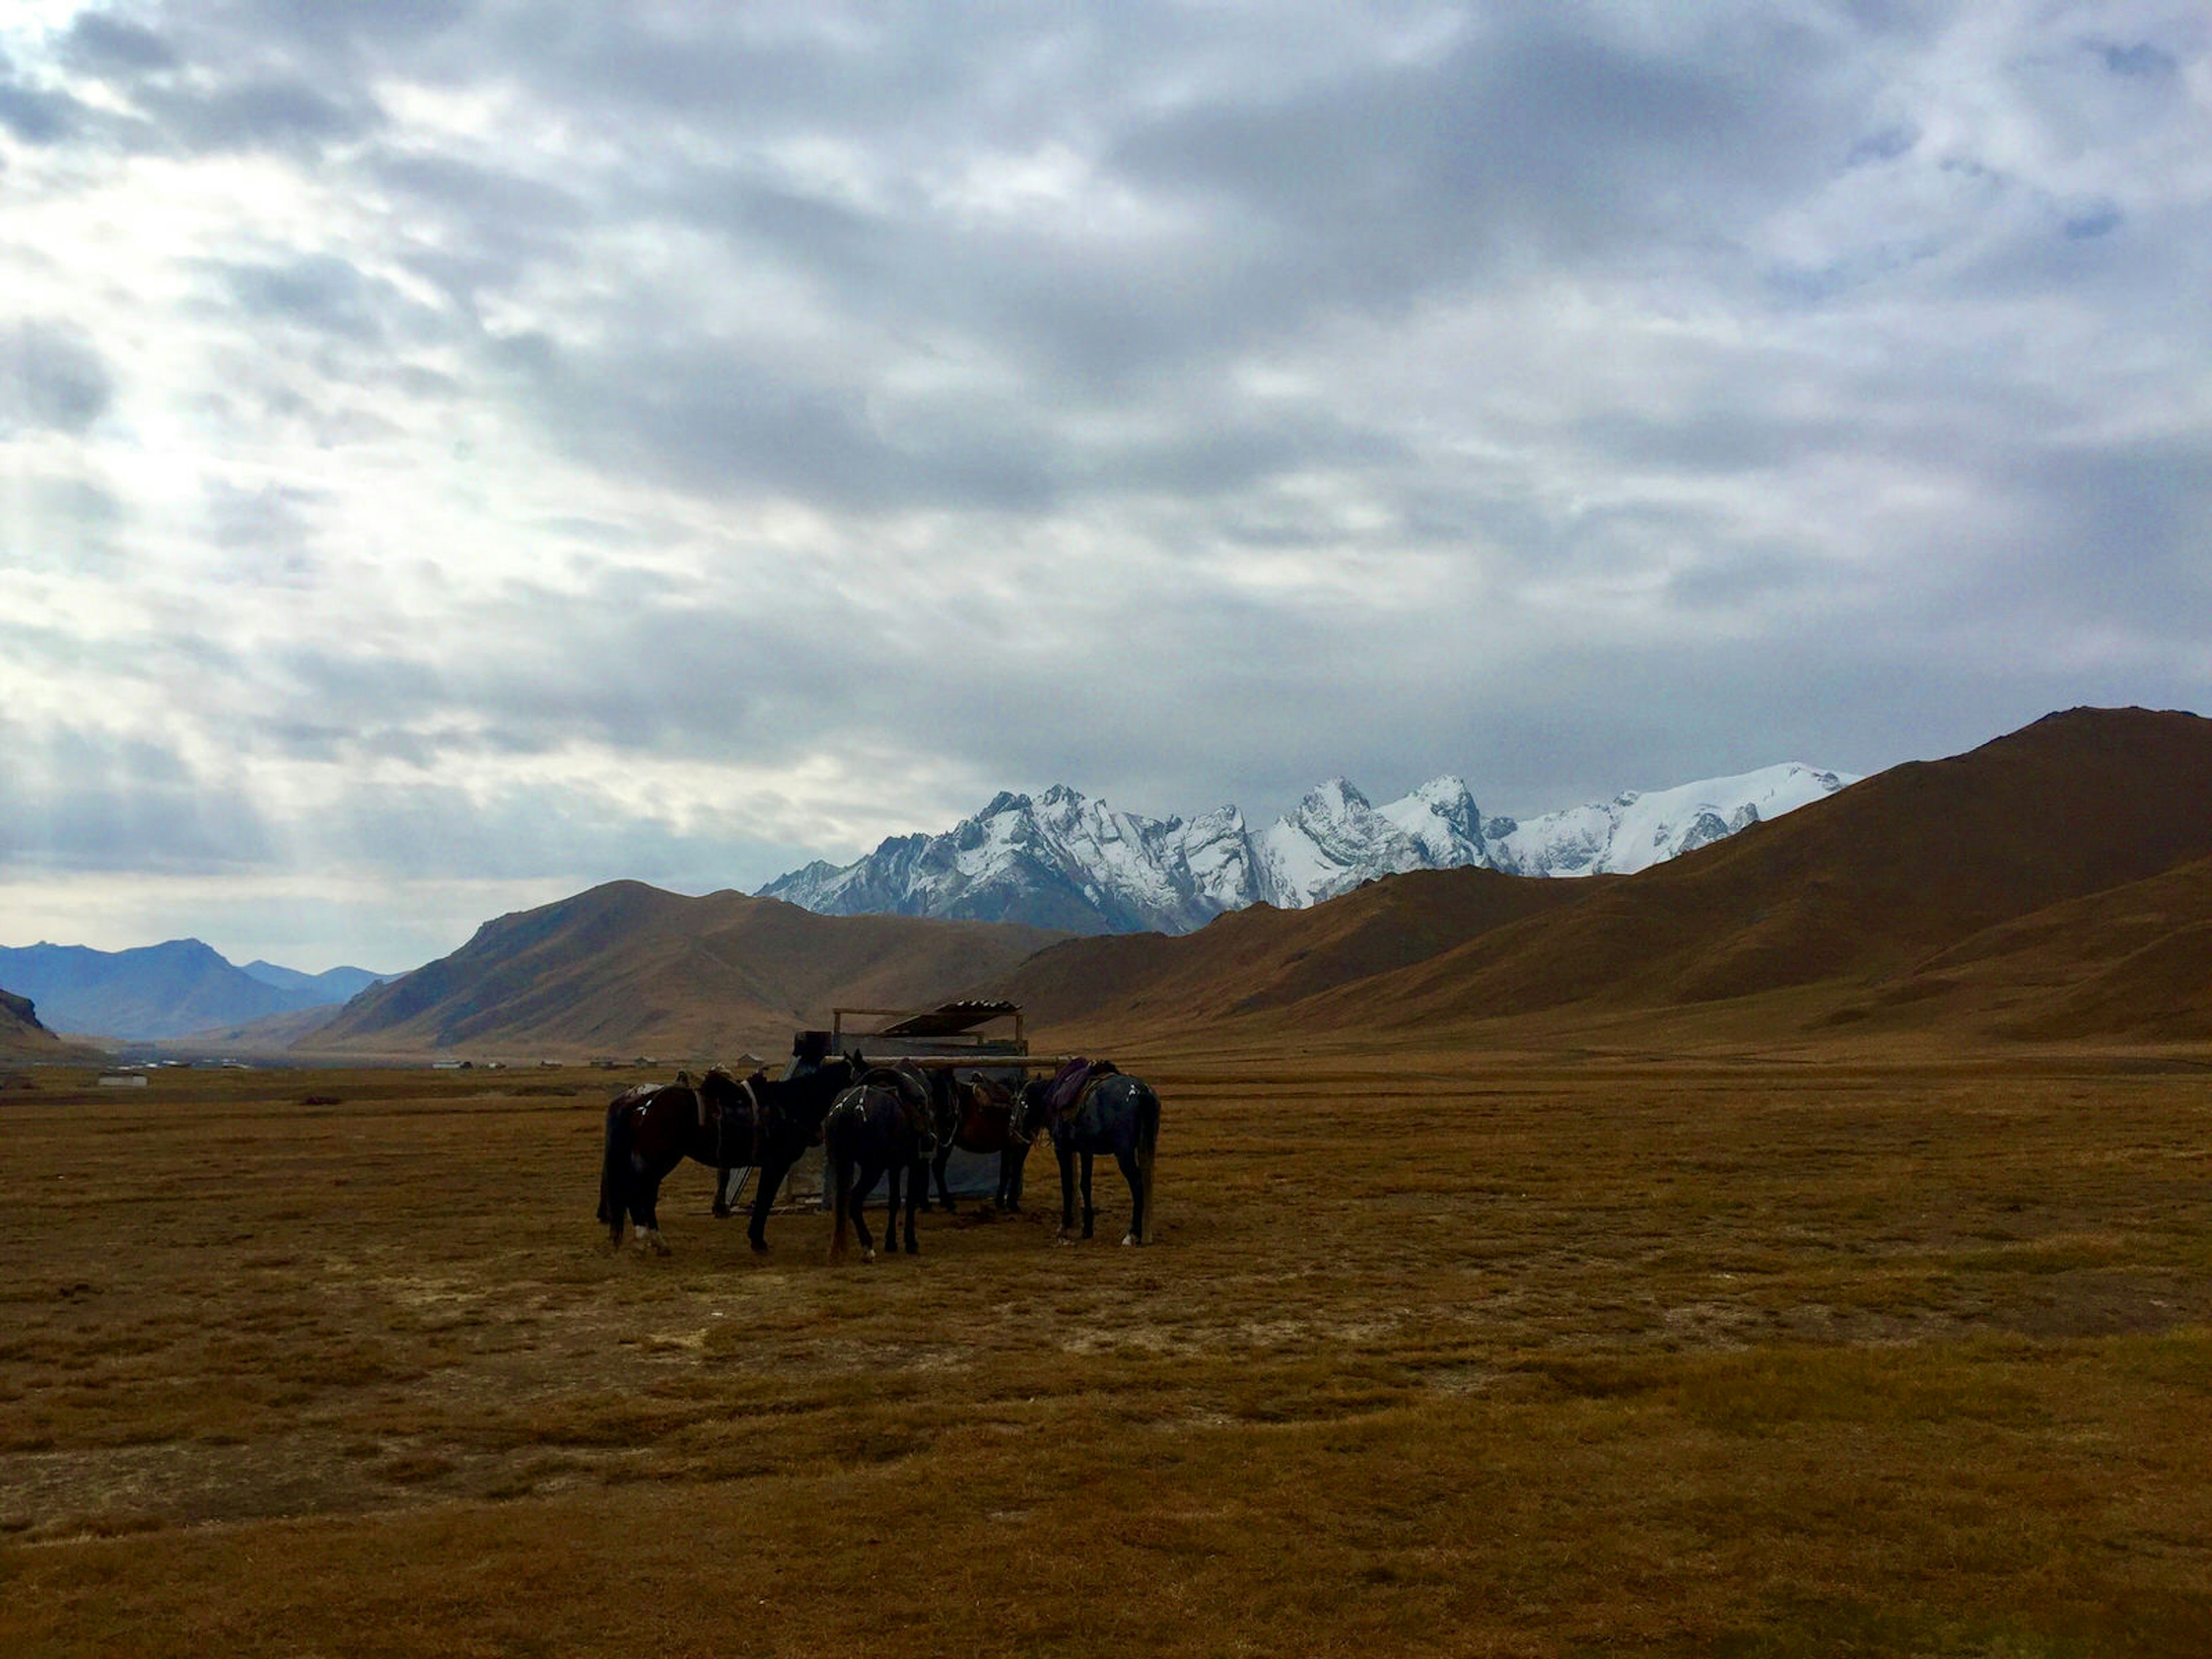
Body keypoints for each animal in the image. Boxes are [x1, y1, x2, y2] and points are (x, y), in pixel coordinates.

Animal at [601, 1057, 867, 1256]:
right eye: (867, 1074)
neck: (791, 1105)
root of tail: (643, 1102)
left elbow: (764, 1199)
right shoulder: (776, 1163)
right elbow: (765, 1199)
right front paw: (758, 1241)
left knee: (644, 1192)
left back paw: (658, 1243)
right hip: (659, 1157)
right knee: (639, 1190)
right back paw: (645, 1240)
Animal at [823, 1070, 942, 1265]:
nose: (931, 1139)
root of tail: (847, 1108)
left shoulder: (894, 1167)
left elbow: (894, 1202)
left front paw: (891, 1242)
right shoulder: (916, 1164)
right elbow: (910, 1201)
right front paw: (911, 1243)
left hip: (841, 1163)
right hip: (872, 1170)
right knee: (855, 1200)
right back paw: (868, 1248)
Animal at [925, 1070, 1044, 1212]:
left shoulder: (1007, 1146)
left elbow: (1005, 1172)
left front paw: (1000, 1203)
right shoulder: (1021, 1146)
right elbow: (1015, 1171)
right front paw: (1013, 1204)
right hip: (946, 1142)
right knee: (938, 1167)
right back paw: (948, 1203)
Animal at [1017, 1066, 1168, 1247]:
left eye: (1018, 1102)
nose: (1015, 1130)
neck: (1053, 1099)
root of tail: (1141, 1091)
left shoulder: (1062, 1150)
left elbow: (1068, 1186)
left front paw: (1064, 1228)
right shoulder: (1086, 1151)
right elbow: (1085, 1184)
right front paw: (1087, 1229)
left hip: (1124, 1153)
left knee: (1137, 1184)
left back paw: (1132, 1234)